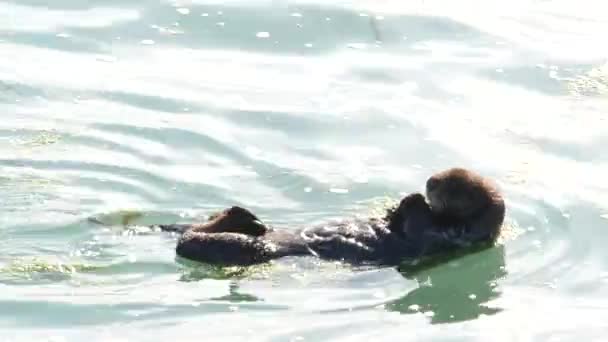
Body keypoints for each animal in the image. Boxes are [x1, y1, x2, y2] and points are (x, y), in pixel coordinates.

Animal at [151, 168, 504, 268]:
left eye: (454, 186)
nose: (429, 181)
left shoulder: (439, 240)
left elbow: (418, 228)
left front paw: (411, 201)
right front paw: (394, 208)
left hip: (250, 250)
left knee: (191, 241)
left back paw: (247, 220)